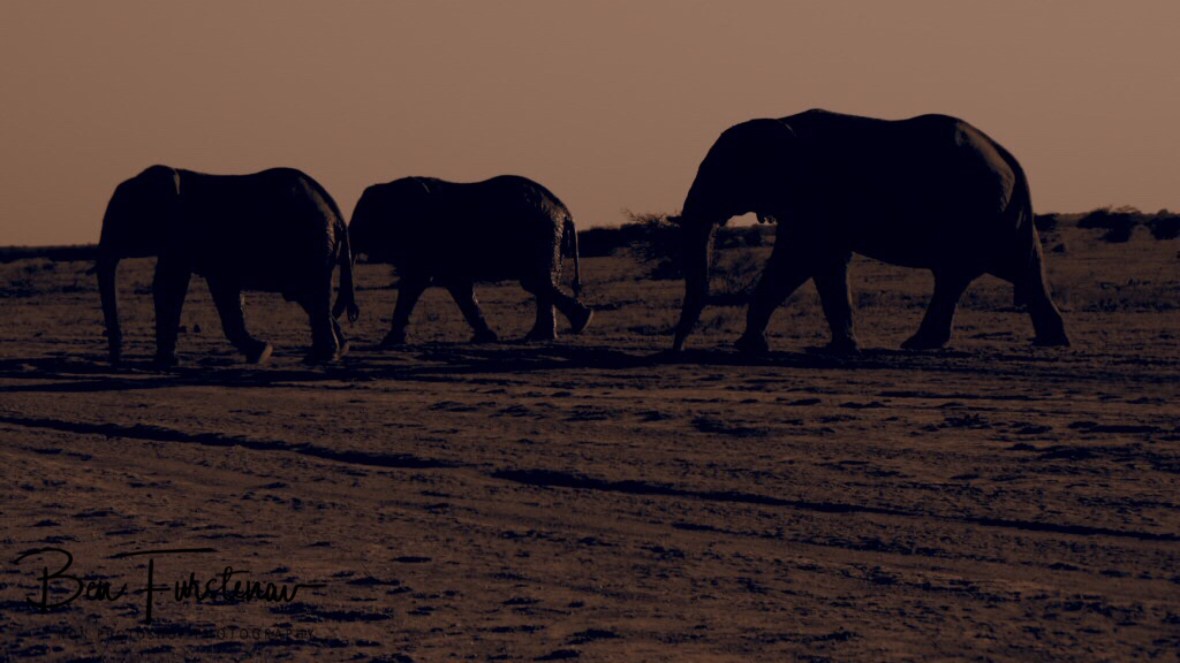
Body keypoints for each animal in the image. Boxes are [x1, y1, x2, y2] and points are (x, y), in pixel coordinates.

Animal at [97, 165, 359, 367]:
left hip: (312, 241)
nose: (118, 362)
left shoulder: (182, 234)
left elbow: (169, 285)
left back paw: (322, 358)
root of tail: (336, 211)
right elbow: (224, 291)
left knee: (312, 294)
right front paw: (261, 353)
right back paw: (335, 351)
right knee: (308, 296)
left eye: (123, 219)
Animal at [348, 175, 592, 345]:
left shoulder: (427, 238)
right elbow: (459, 286)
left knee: (536, 282)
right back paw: (547, 334)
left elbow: (416, 282)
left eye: (363, 218)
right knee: (542, 283)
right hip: (550, 238)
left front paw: (389, 342)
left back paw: (579, 322)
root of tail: (565, 210)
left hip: (541, 234)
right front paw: (487, 338)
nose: (353, 314)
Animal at [670, 109, 1070, 353]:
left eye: (722, 174)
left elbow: (798, 258)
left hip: (975, 206)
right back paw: (1049, 342)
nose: (678, 349)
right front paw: (842, 349)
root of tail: (1007, 153)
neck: (780, 122)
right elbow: (827, 262)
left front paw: (748, 347)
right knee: (1014, 267)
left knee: (961, 271)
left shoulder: (815, 193)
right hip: (996, 212)